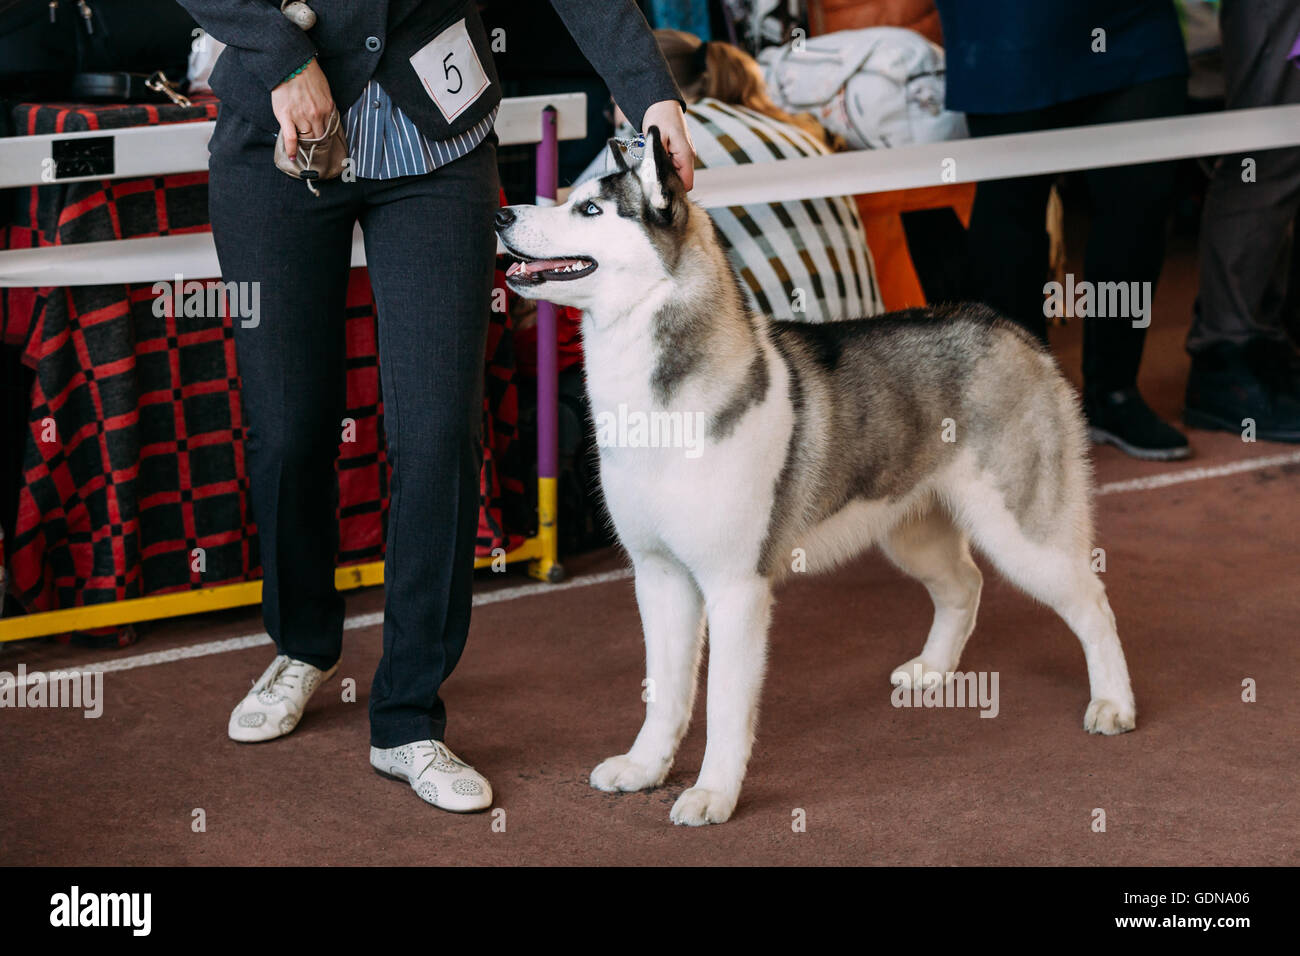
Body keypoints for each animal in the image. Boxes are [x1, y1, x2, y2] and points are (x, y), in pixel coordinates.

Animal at [491, 130, 1133, 827]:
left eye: (589, 210)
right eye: (569, 195)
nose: (500, 215)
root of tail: (1010, 329)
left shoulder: (735, 587)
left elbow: (723, 706)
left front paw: (714, 794)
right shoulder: (659, 576)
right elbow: (664, 692)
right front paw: (645, 767)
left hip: (1025, 537)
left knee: (1094, 603)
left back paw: (1114, 704)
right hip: (910, 531)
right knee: (965, 585)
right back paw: (934, 670)